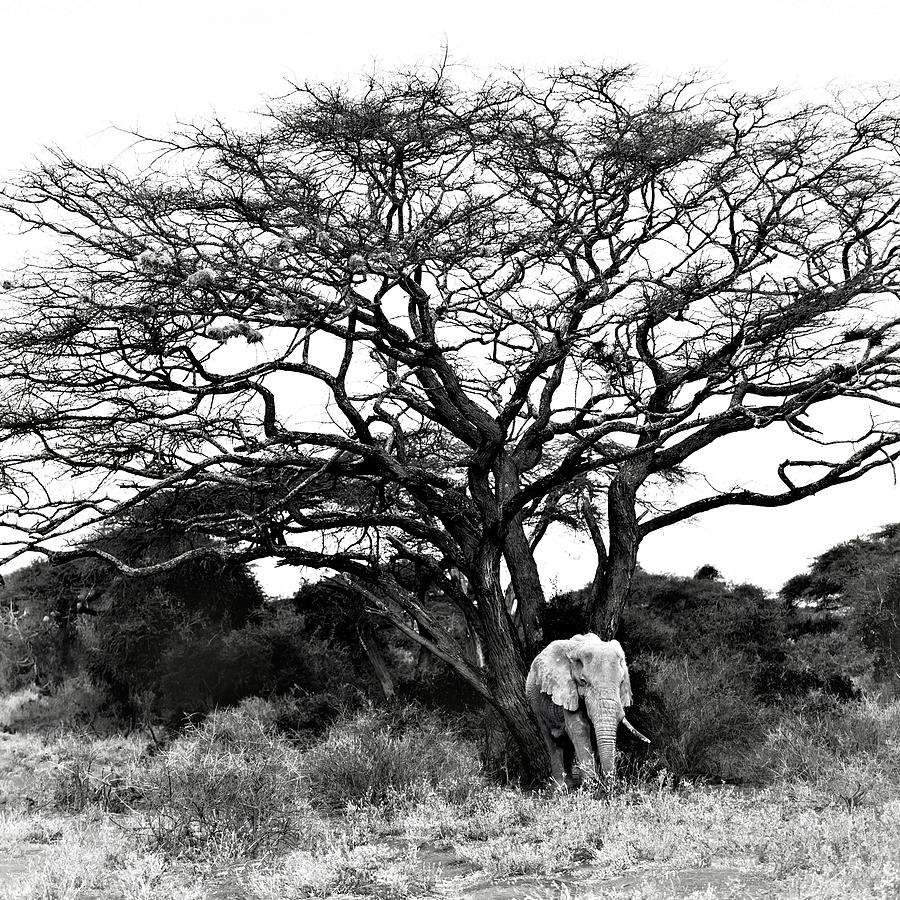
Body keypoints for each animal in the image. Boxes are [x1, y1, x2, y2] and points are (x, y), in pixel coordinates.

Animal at [528, 632, 648, 788]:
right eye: (583, 682)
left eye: (622, 681)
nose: (612, 785)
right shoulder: (568, 690)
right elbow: (579, 728)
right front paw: (591, 785)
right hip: (535, 704)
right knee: (552, 740)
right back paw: (560, 787)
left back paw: (570, 783)